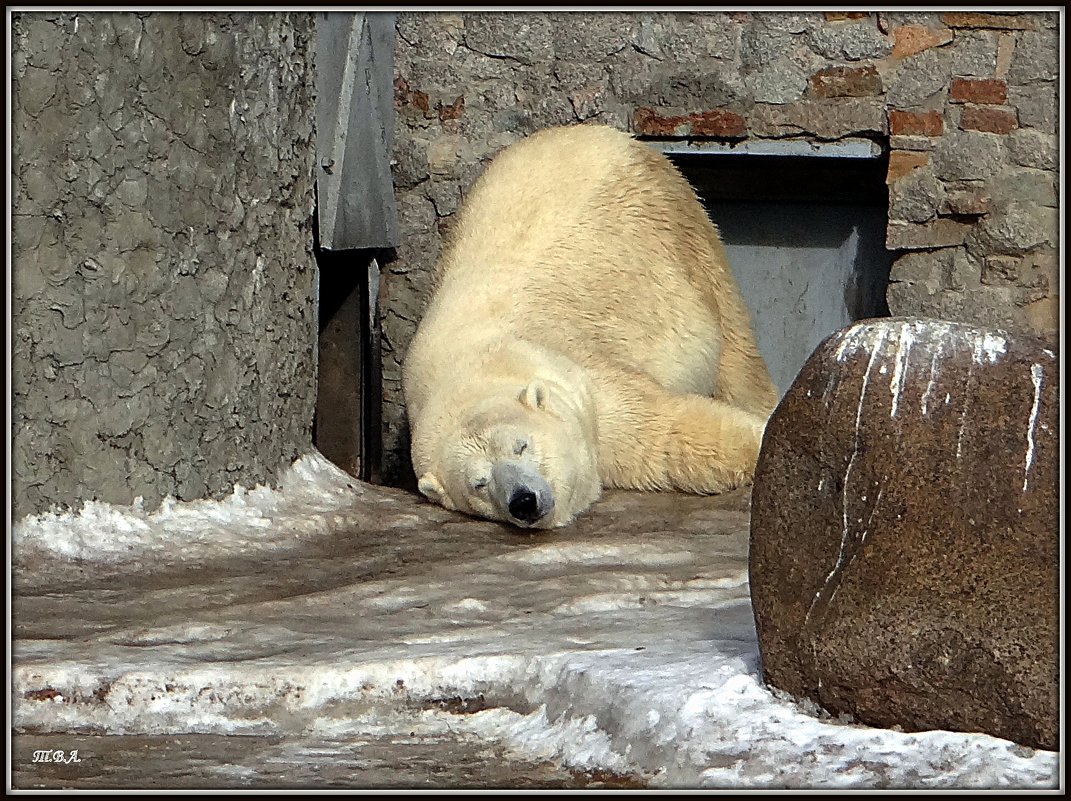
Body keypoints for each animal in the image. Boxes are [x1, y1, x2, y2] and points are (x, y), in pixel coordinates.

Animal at [402, 122, 779, 529]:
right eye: (479, 484)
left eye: (521, 445)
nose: (523, 500)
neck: (470, 364)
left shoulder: (584, 381)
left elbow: (671, 432)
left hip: (676, 228)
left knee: (735, 351)